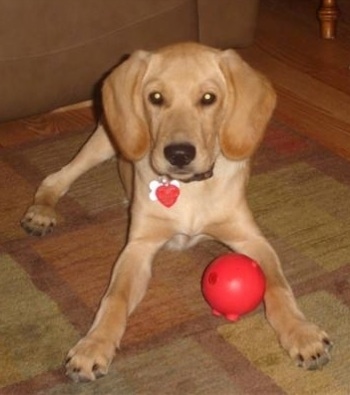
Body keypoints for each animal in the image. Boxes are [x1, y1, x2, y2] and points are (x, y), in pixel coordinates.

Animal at [20, 41, 332, 382]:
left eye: (208, 98)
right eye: (156, 97)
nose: (179, 154)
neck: (189, 188)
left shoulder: (251, 239)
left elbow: (278, 285)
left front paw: (302, 333)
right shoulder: (138, 248)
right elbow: (114, 297)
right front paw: (94, 345)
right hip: (104, 141)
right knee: (57, 178)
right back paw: (41, 213)